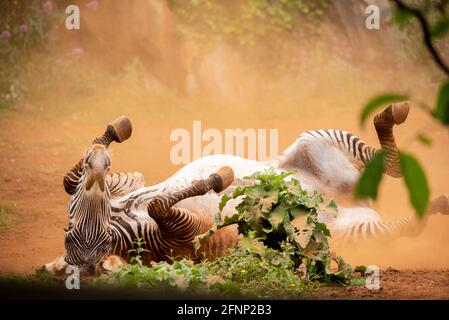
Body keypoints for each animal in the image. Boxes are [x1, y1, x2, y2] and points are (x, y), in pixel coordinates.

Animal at [43, 102, 446, 276]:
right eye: (76, 235)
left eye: (69, 225)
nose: (97, 160)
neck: (122, 218)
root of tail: (349, 199)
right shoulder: (190, 239)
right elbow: (159, 205)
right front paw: (219, 178)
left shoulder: (128, 183)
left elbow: (70, 180)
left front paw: (112, 134)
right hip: (348, 232)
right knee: (405, 219)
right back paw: (437, 203)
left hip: (314, 143)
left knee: (387, 164)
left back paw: (391, 113)